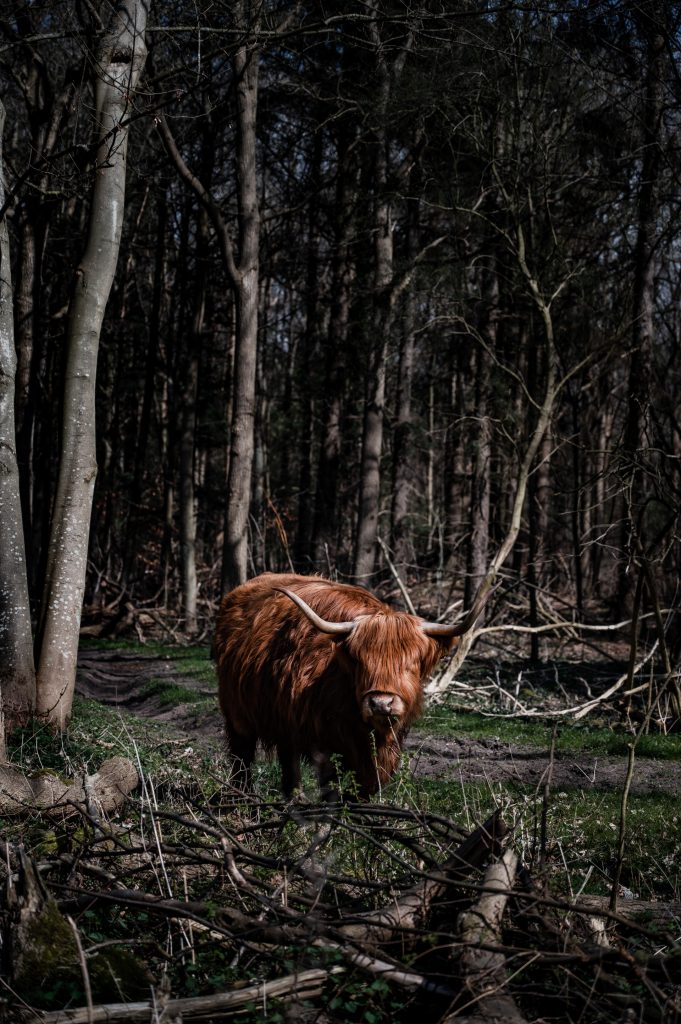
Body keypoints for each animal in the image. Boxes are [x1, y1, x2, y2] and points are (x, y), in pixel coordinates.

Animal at [213, 573, 483, 794]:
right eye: (359, 661)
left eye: (411, 663)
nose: (381, 703)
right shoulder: (320, 743)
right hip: (238, 717)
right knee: (244, 761)